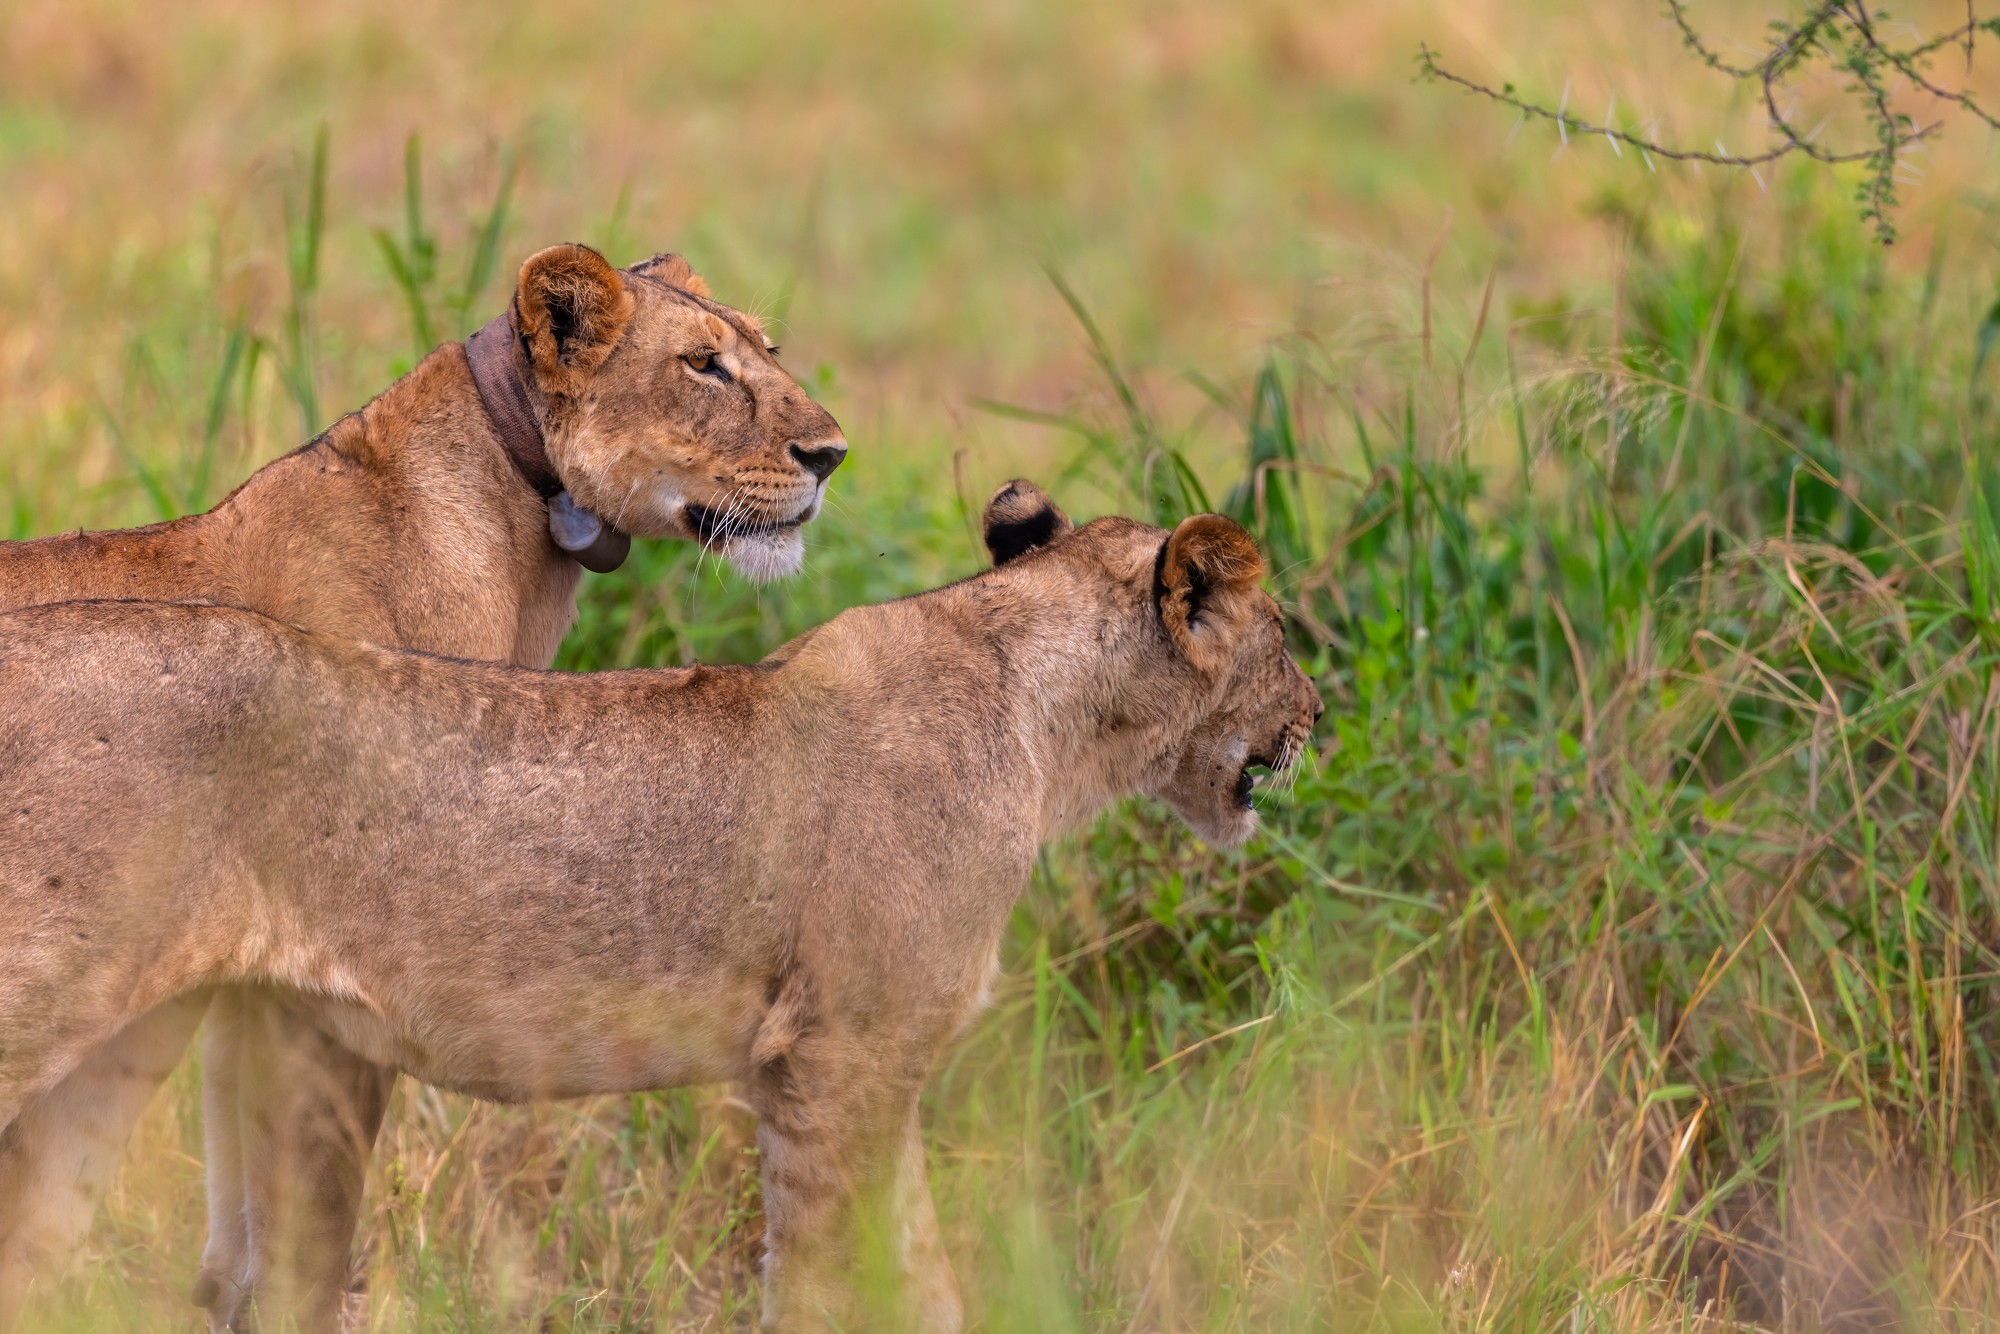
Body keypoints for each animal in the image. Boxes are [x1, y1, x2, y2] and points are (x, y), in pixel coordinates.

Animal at [0, 242, 846, 1329]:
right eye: (702, 365)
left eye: (765, 349)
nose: (831, 454)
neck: (517, 539)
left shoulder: (245, 972)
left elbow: (233, 1215)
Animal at [0, 482, 1320, 1331]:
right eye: (1283, 632)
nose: (1319, 711)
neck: (1049, 731)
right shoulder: (837, 1053)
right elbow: (828, 1277)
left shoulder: (866, 1058)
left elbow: (920, 1272)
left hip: (134, 1038)